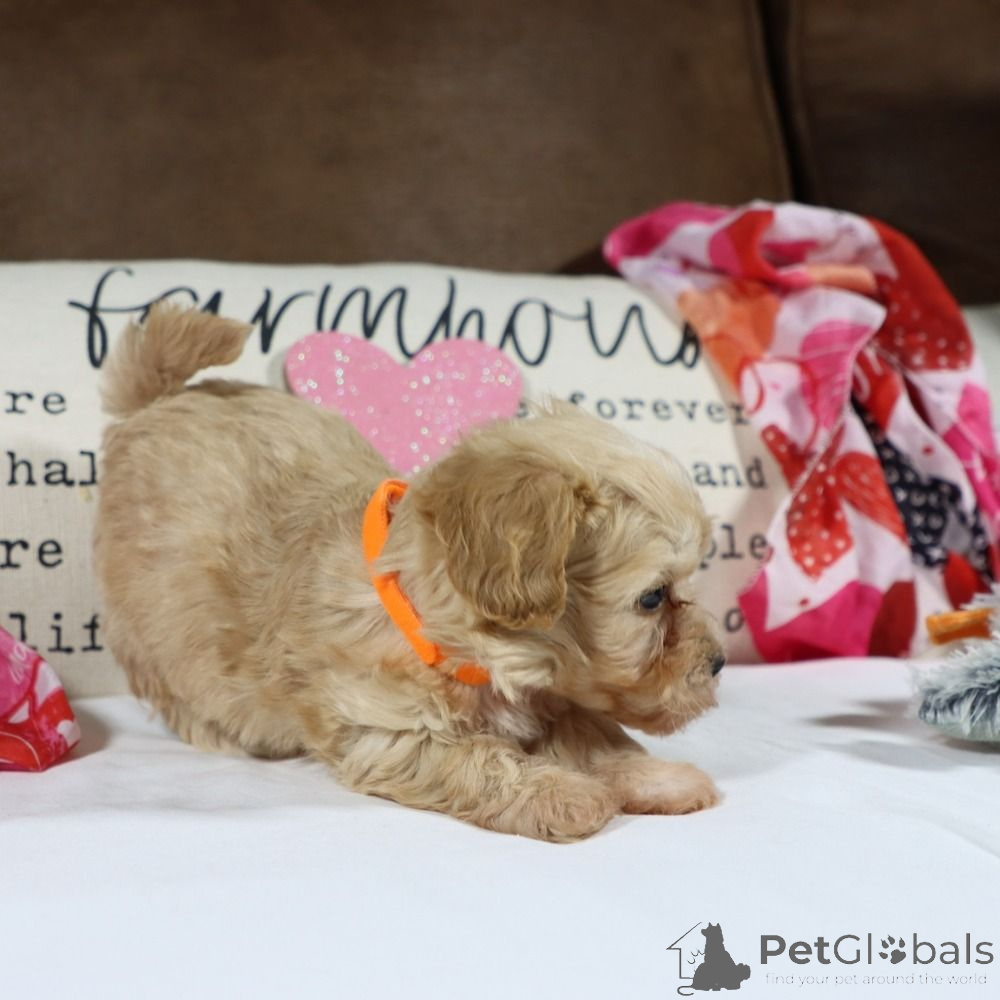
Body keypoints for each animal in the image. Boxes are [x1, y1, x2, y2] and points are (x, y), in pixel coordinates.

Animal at [94, 305, 725, 842]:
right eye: (653, 598)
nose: (718, 662)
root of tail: (156, 400)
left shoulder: (552, 697)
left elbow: (590, 732)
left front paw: (658, 778)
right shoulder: (389, 730)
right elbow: (478, 759)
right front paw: (561, 794)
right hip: (156, 627)